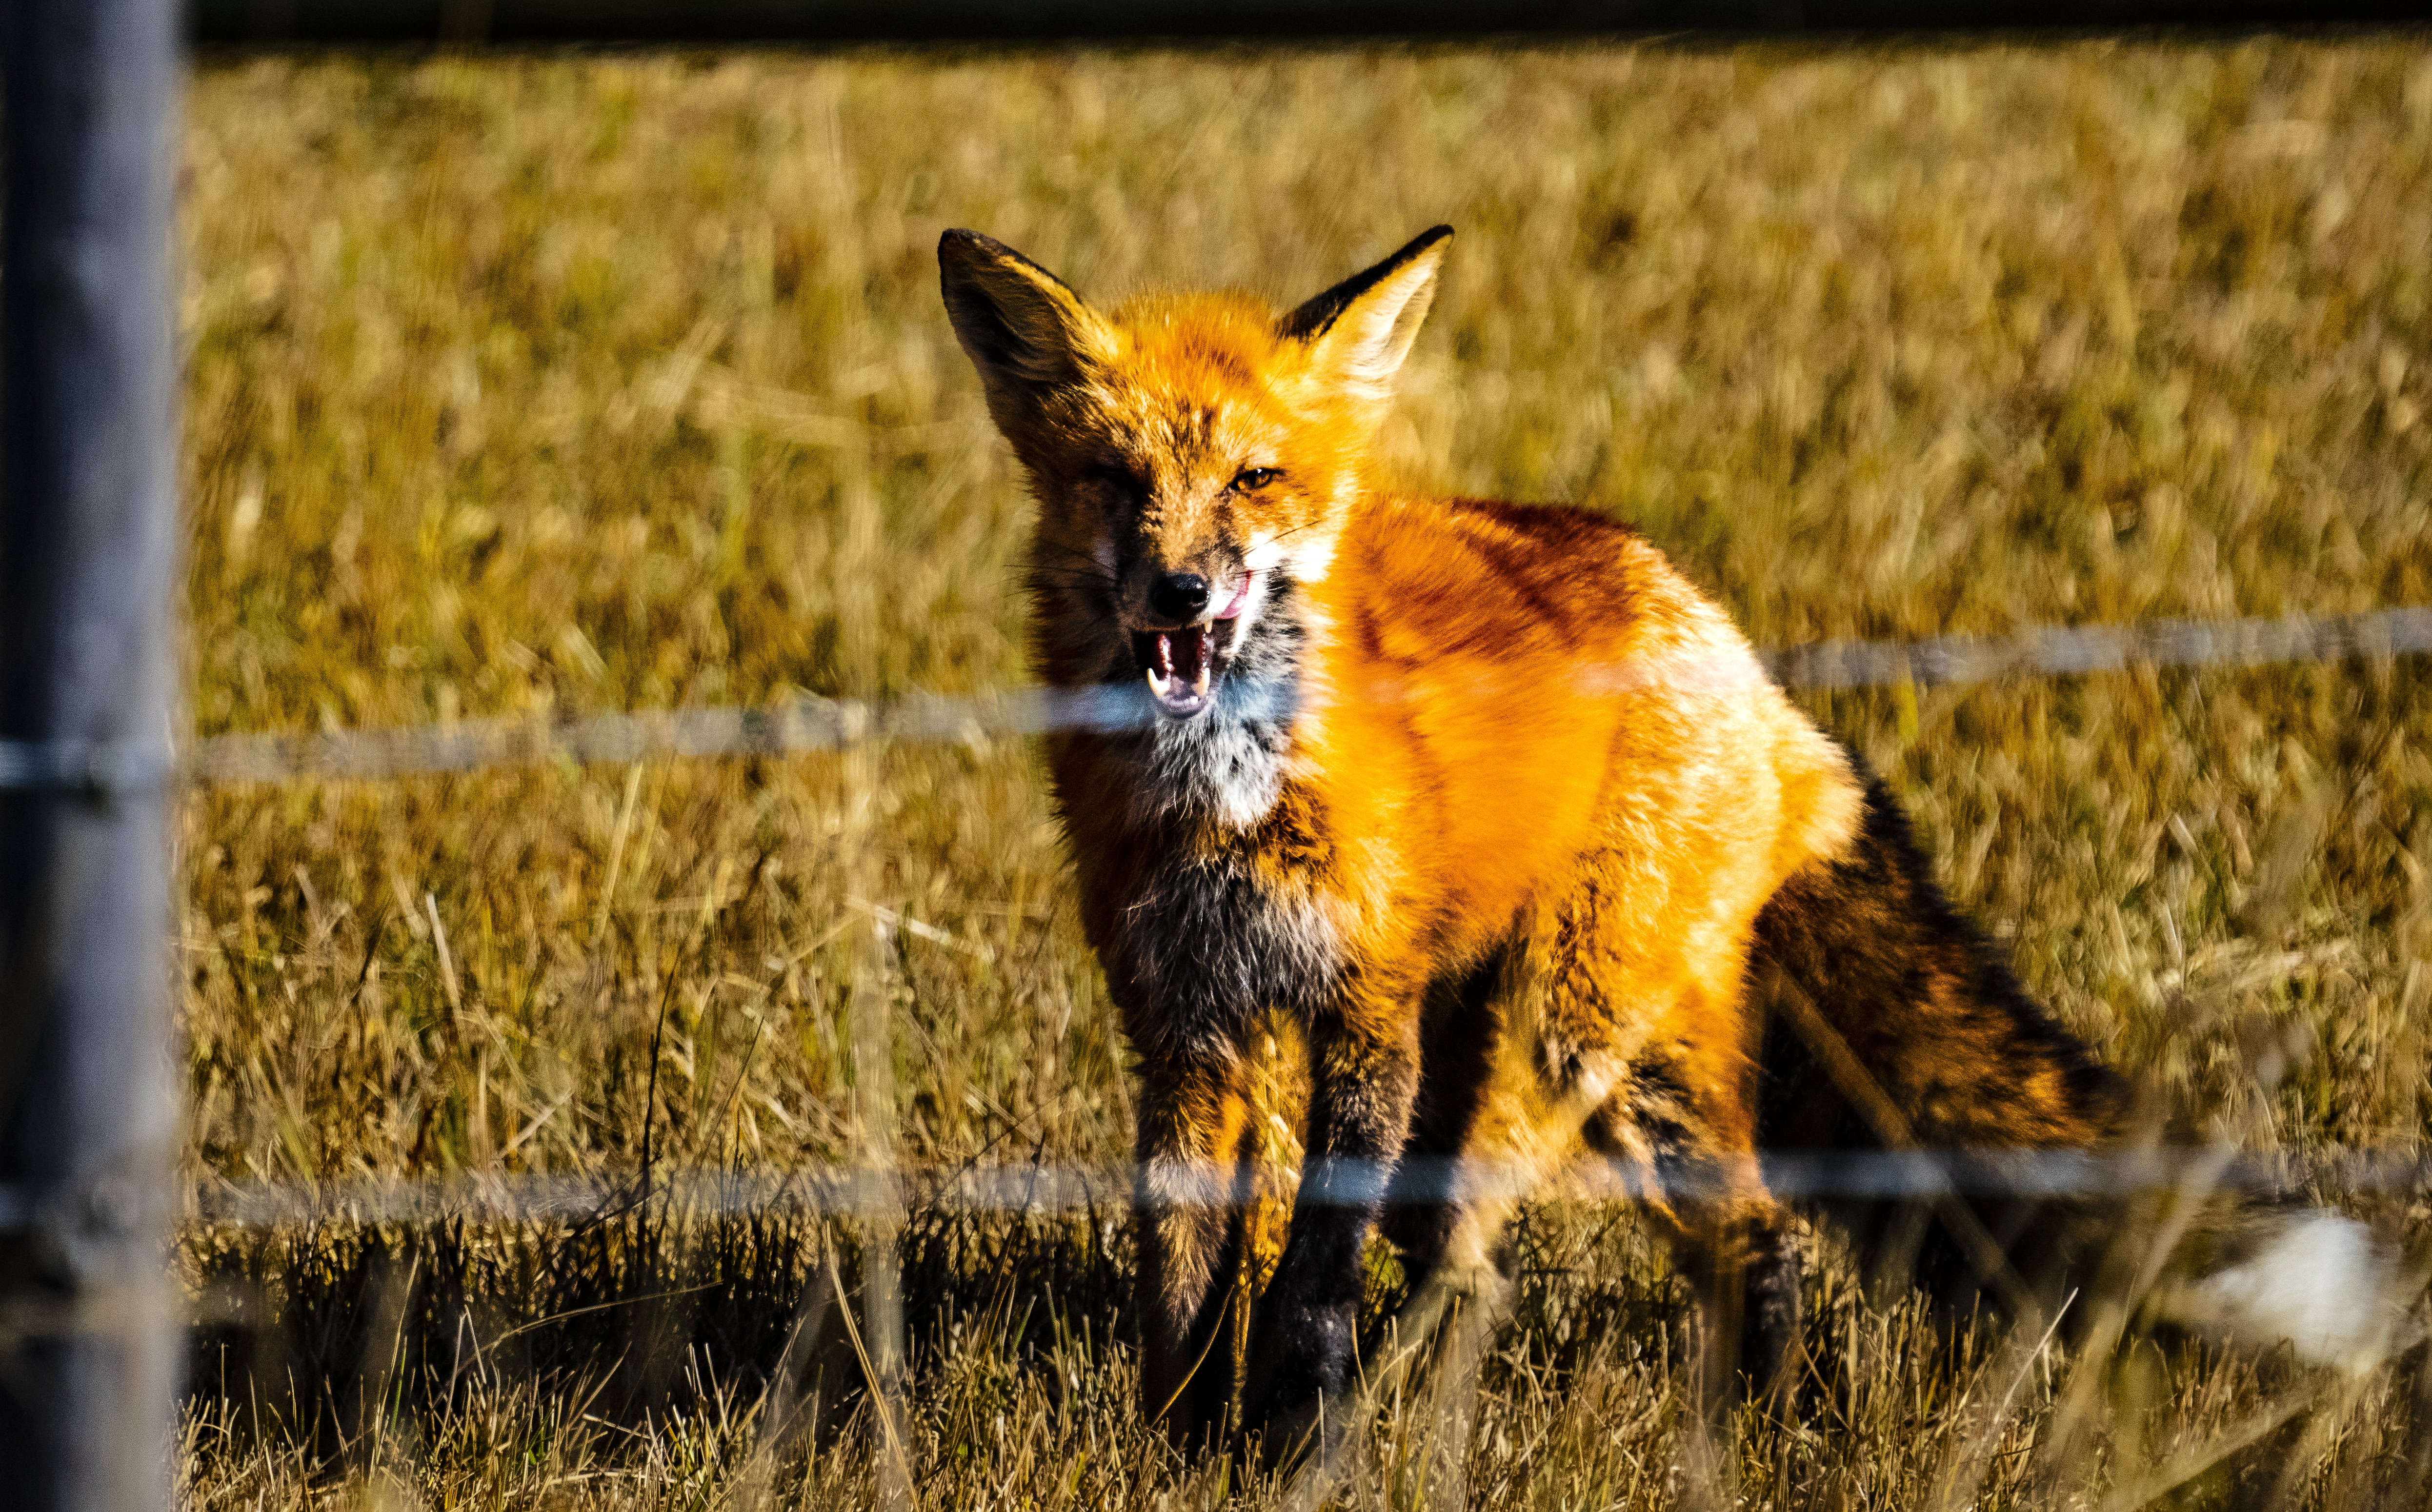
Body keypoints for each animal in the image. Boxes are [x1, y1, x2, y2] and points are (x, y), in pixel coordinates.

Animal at [937, 224, 2403, 1455]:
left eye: (1254, 481)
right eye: (1116, 483)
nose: (1180, 592)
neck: (1227, 800)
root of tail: (1722, 638)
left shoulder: (1365, 1013)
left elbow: (1309, 1280)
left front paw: (1296, 1438)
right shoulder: (1187, 1030)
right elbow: (1181, 1284)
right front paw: (1181, 1449)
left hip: (1585, 1043)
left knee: (1740, 1234)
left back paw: (1760, 1441)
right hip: (1504, 1057)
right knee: (1471, 1262)